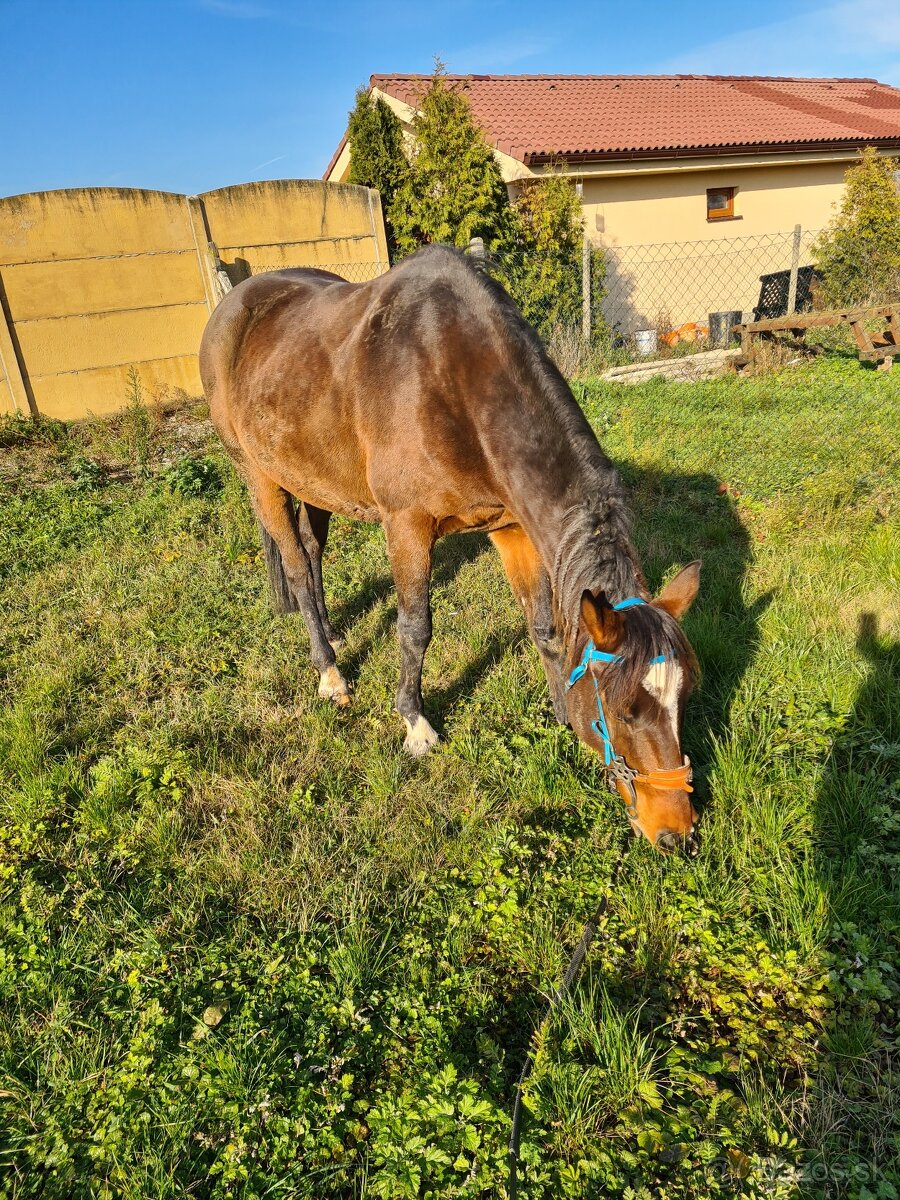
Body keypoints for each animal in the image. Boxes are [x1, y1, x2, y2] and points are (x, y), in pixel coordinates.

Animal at [199, 243, 705, 854]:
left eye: (683, 699)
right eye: (623, 712)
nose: (676, 833)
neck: (453, 380)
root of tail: (234, 304)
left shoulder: (511, 528)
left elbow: (544, 627)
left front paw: (560, 709)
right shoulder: (407, 526)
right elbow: (415, 628)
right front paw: (415, 723)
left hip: (315, 480)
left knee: (312, 553)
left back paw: (332, 633)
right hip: (260, 476)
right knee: (295, 566)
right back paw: (330, 672)